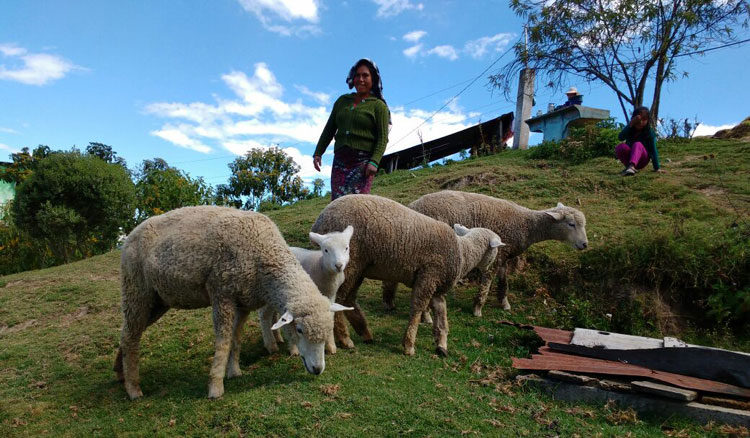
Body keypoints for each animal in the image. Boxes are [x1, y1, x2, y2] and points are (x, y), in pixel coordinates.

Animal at [258, 226, 356, 356]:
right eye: (326, 250)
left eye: (346, 248)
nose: (338, 265)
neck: (320, 266)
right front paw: (294, 349)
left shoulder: (331, 295)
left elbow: (330, 316)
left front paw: (330, 346)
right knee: (264, 315)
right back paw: (271, 345)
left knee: (273, 314)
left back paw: (278, 338)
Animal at [384, 190, 592, 316]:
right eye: (571, 224)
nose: (585, 244)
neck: (527, 225)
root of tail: (412, 206)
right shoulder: (496, 254)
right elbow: (486, 283)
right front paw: (478, 308)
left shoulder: (505, 255)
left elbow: (503, 282)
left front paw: (504, 303)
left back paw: (390, 302)